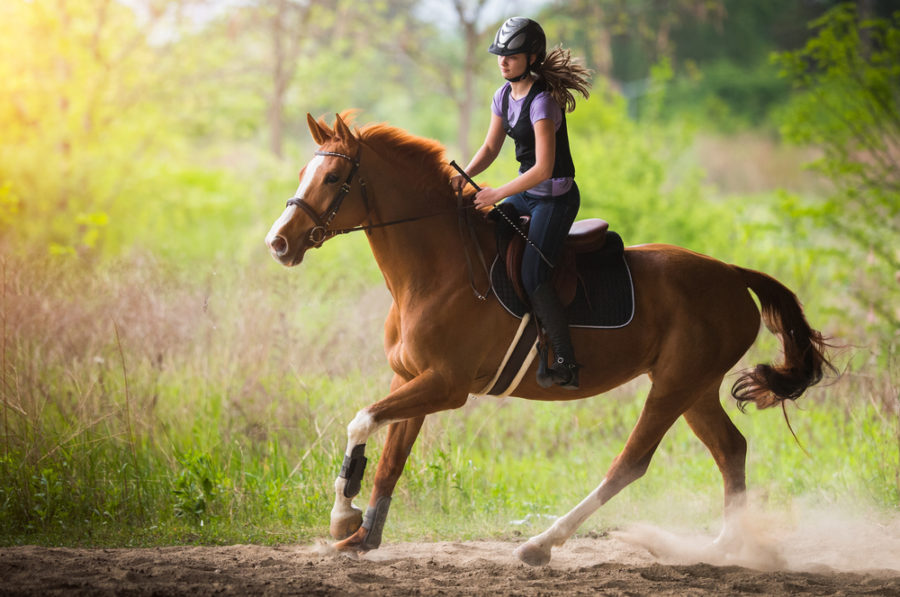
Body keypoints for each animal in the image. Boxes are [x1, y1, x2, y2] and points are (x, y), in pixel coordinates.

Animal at [264, 112, 832, 564]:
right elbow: (389, 462)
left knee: (631, 463)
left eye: (333, 176)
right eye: (303, 173)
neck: (436, 271)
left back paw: (542, 544)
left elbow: (360, 421)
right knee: (731, 449)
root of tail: (732, 274)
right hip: (696, 388)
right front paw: (361, 536)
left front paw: (342, 518)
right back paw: (722, 547)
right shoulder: (411, 379)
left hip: (675, 385)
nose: (279, 243)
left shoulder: (446, 386)